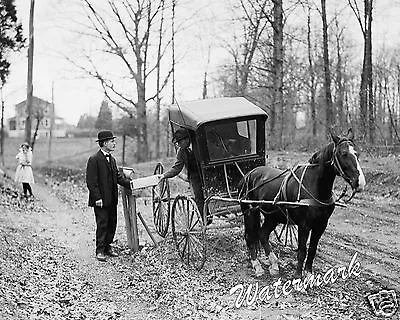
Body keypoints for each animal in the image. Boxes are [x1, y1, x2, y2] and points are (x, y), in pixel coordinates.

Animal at [238, 130, 366, 278]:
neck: (314, 186)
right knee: (249, 237)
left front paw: (309, 273)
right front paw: (298, 275)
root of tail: (248, 174)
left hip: (272, 216)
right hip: (249, 212)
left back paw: (274, 265)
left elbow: (312, 249)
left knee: (262, 234)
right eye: (343, 153)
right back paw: (257, 266)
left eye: (357, 153)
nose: (360, 183)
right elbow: (302, 250)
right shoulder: (304, 225)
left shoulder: (321, 225)